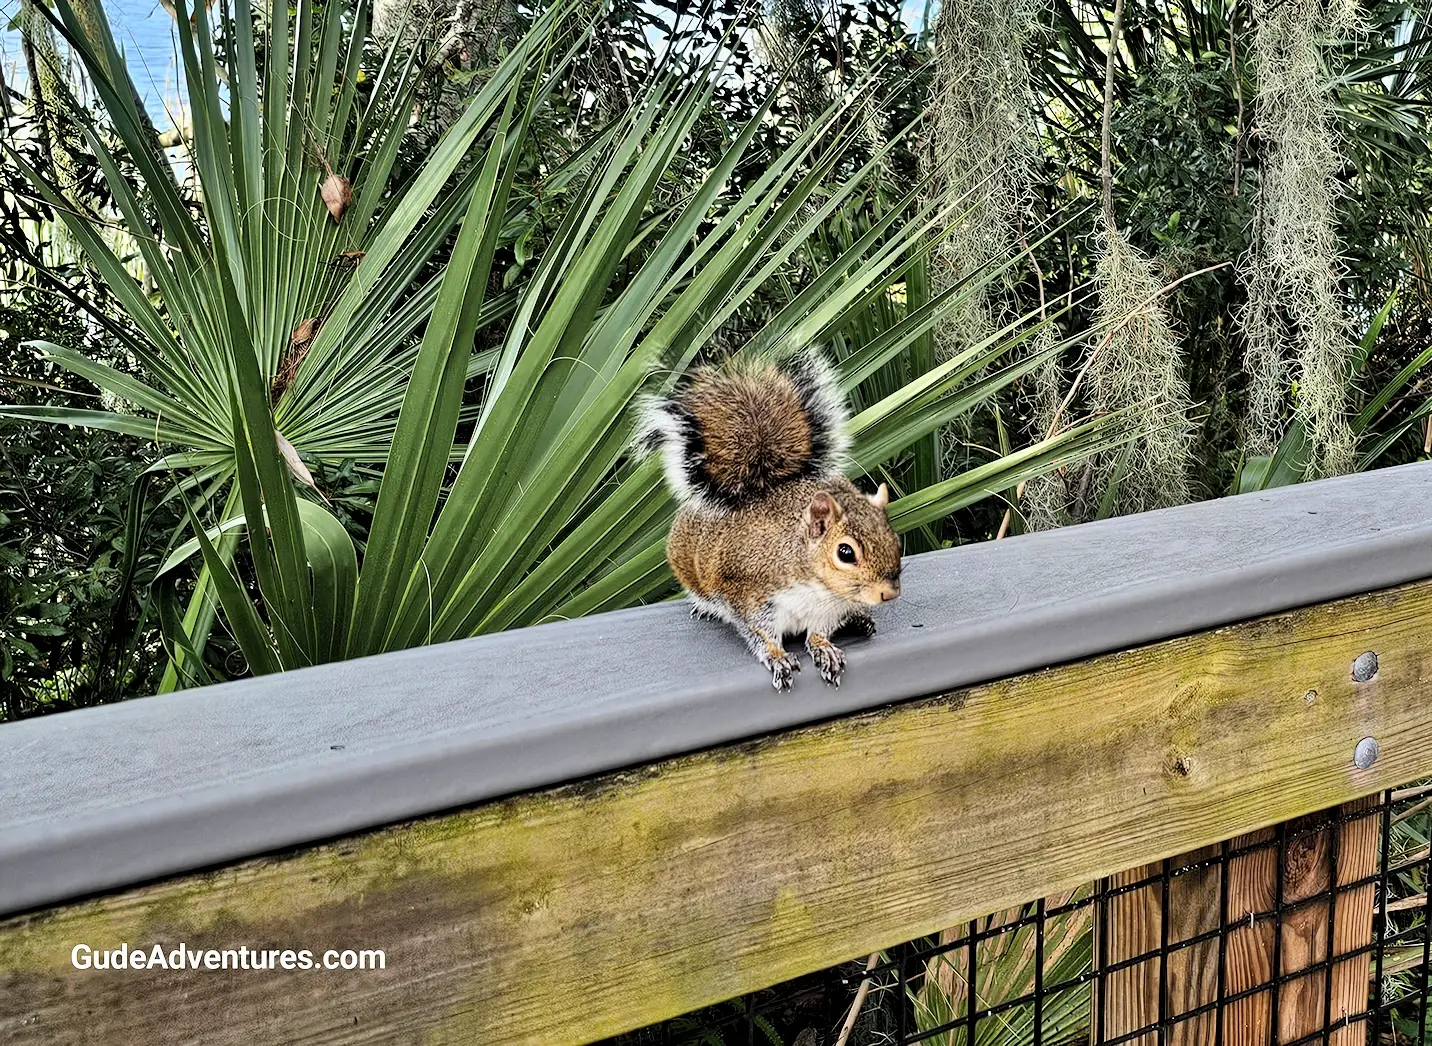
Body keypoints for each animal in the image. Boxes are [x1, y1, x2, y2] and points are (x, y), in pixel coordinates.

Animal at [636, 350, 902, 691]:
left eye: (895, 539)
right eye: (845, 553)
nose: (889, 593)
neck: (817, 587)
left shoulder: (828, 611)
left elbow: (818, 631)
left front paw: (824, 648)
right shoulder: (749, 596)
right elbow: (760, 634)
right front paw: (777, 657)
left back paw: (859, 618)